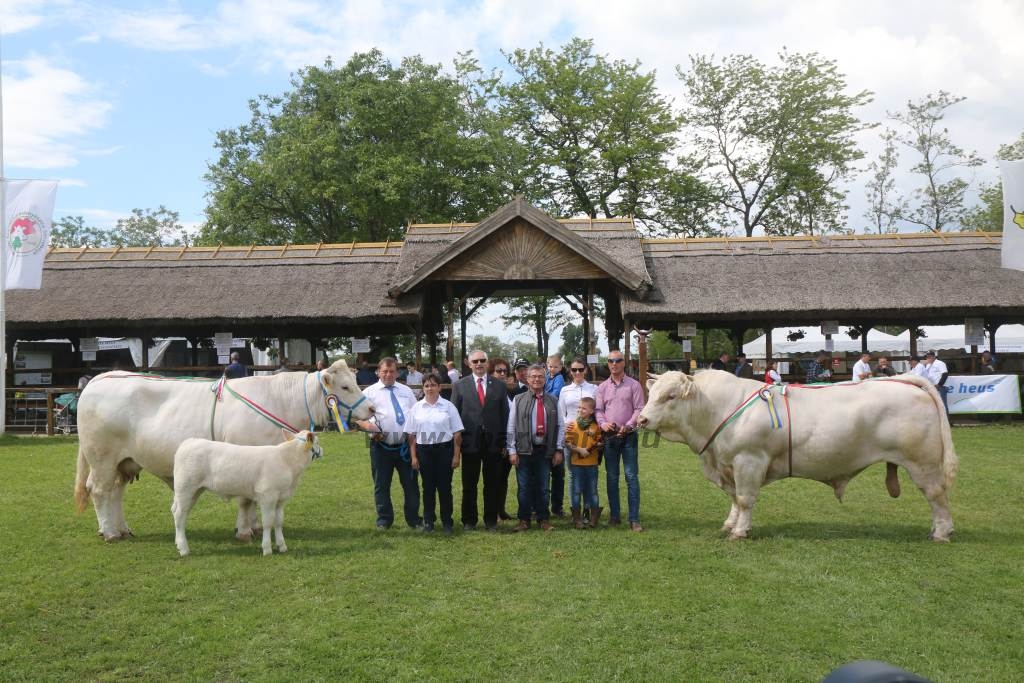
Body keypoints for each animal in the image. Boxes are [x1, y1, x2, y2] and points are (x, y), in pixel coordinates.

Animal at [74, 360, 374, 540]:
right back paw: (110, 533)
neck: (278, 401)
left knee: (115, 492)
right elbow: (245, 500)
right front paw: (245, 530)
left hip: (124, 461)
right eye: (345, 386)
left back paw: (122, 528)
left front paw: (254, 526)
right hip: (102, 457)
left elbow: (252, 499)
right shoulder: (245, 455)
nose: (371, 408)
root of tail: (103, 377)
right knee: (99, 491)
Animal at [172, 430, 321, 557]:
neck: (287, 461)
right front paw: (267, 548)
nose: (322, 451)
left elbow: (279, 521)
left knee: (178, 512)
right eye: (318, 442)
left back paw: (178, 544)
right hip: (185, 488)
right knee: (179, 515)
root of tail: (189, 442)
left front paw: (282, 546)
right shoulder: (267, 495)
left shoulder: (281, 498)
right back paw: (184, 549)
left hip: (193, 491)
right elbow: (268, 522)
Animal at [634, 370, 954, 540]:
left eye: (670, 396)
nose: (641, 420)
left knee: (937, 496)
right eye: (652, 394)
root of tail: (904, 381)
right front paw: (730, 524)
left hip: (923, 464)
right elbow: (734, 498)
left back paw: (941, 532)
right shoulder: (728, 466)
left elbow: (745, 498)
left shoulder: (748, 460)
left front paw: (740, 531)